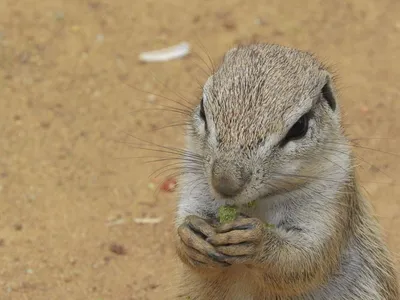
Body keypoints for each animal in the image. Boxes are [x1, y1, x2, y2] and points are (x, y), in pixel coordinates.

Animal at [173, 43, 398, 298]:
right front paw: (189, 235)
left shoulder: (333, 199)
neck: (257, 202)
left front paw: (257, 240)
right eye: (202, 108)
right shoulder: (195, 181)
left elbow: (304, 260)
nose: (224, 184)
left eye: (299, 127)